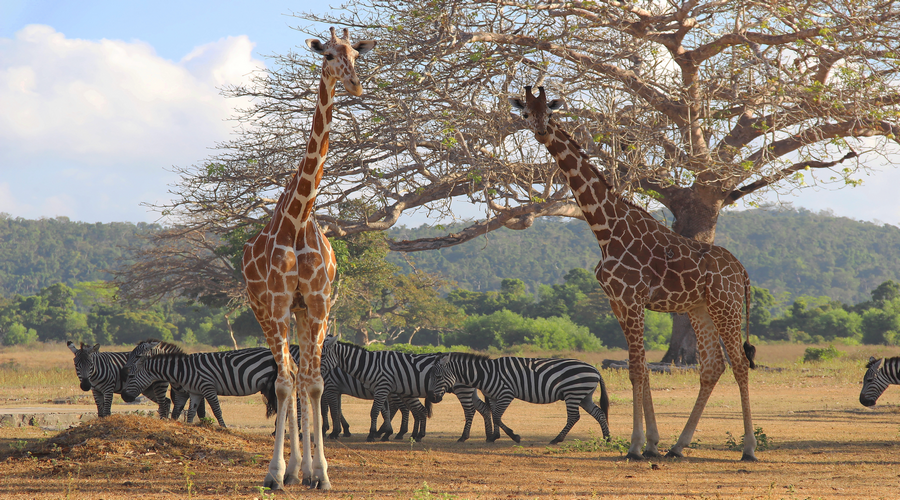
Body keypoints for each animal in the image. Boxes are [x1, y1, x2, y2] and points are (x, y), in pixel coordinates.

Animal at [122, 342, 278, 428]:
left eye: (131, 376)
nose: (124, 396)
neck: (182, 369)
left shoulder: (207, 388)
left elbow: (216, 410)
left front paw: (224, 428)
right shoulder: (194, 392)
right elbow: (190, 412)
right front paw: (189, 426)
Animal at [241, 26, 374, 488]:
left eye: (357, 54)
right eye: (329, 54)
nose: (355, 84)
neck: (299, 219)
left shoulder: (317, 303)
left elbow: (315, 384)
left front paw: (321, 474)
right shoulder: (280, 303)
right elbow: (284, 384)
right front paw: (275, 473)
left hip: (302, 312)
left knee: (301, 377)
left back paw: (304, 468)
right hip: (264, 310)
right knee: (288, 376)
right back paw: (289, 469)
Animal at [320, 336, 492, 442]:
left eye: (322, 356)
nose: (317, 373)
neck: (370, 365)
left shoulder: (335, 387)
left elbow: (336, 410)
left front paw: (367, 434)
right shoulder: (380, 389)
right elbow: (383, 411)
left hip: (462, 390)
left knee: (469, 411)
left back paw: (464, 436)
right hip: (470, 391)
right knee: (483, 408)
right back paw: (490, 435)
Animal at [424, 352, 608, 446]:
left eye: (438, 377)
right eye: (431, 376)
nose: (432, 397)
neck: (486, 374)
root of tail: (595, 370)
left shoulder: (506, 394)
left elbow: (498, 417)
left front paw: (515, 437)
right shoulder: (494, 397)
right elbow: (494, 416)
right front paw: (494, 437)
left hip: (573, 393)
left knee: (574, 417)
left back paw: (556, 439)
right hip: (584, 396)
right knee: (599, 413)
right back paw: (607, 438)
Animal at [510, 85, 756, 460]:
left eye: (549, 112)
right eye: (526, 113)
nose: (540, 130)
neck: (605, 228)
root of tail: (741, 271)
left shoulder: (632, 298)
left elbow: (638, 369)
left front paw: (636, 445)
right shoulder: (619, 303)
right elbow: (638, 368)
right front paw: (652, 443)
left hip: (725, 306)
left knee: (740, 365)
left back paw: (749, 448)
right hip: (700, 308)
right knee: (713, 366)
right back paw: (678, 446)